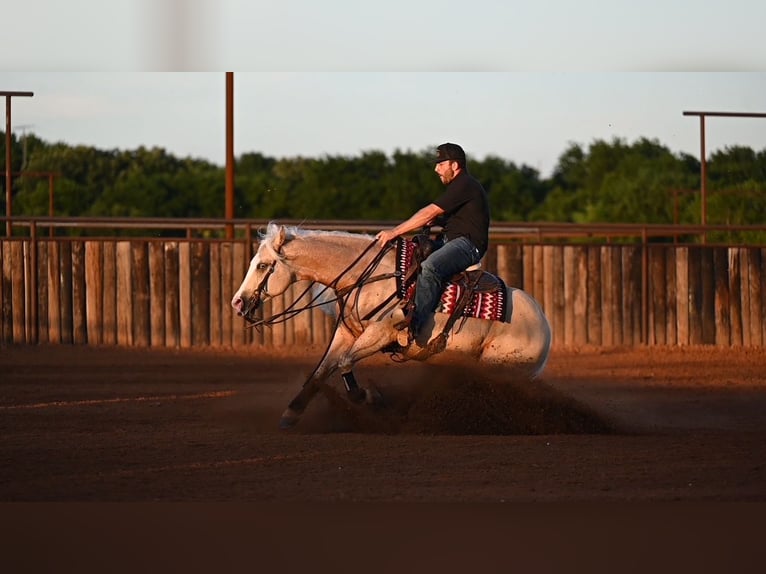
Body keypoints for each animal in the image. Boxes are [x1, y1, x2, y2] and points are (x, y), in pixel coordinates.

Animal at [231, 223, 552, 429]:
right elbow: (321, 372)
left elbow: (345, 363)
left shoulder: (379, 334)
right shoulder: (347, 333)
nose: (237, 302)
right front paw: (291, 415)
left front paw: (370, 398)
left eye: (262, 265)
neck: (367, 276)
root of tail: (545, 327)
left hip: (500, 367)